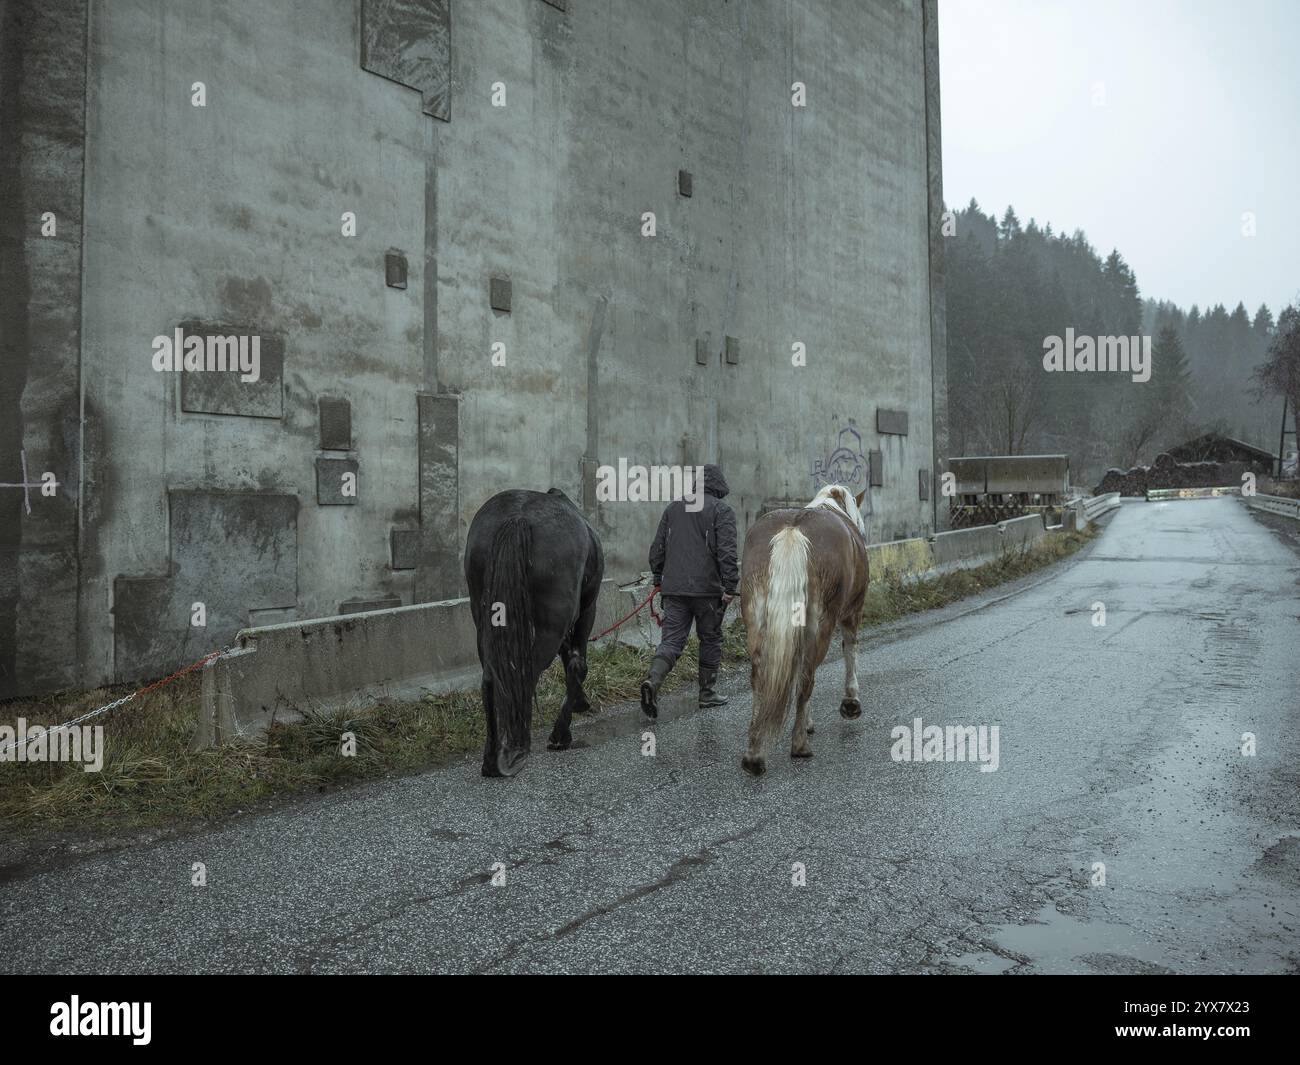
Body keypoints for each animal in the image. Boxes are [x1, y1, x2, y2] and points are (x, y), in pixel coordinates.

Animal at [462, 488, 603, 775]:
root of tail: (518, 517)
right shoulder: (587, 609)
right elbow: (576, 663)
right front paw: (561, 734)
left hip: (485, 623)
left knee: (492, 678)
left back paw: (492, 759)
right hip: (553, 623)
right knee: (527, 676)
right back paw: (519, 749)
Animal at [743, 483, 863, 775]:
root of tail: (793, 529)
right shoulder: (852, 612)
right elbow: (850, 650)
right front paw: (851, 703)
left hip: (758, 622)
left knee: (760, 676)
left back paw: (754, 753)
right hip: (821, 625)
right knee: (807, 676)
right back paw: (798, 745)